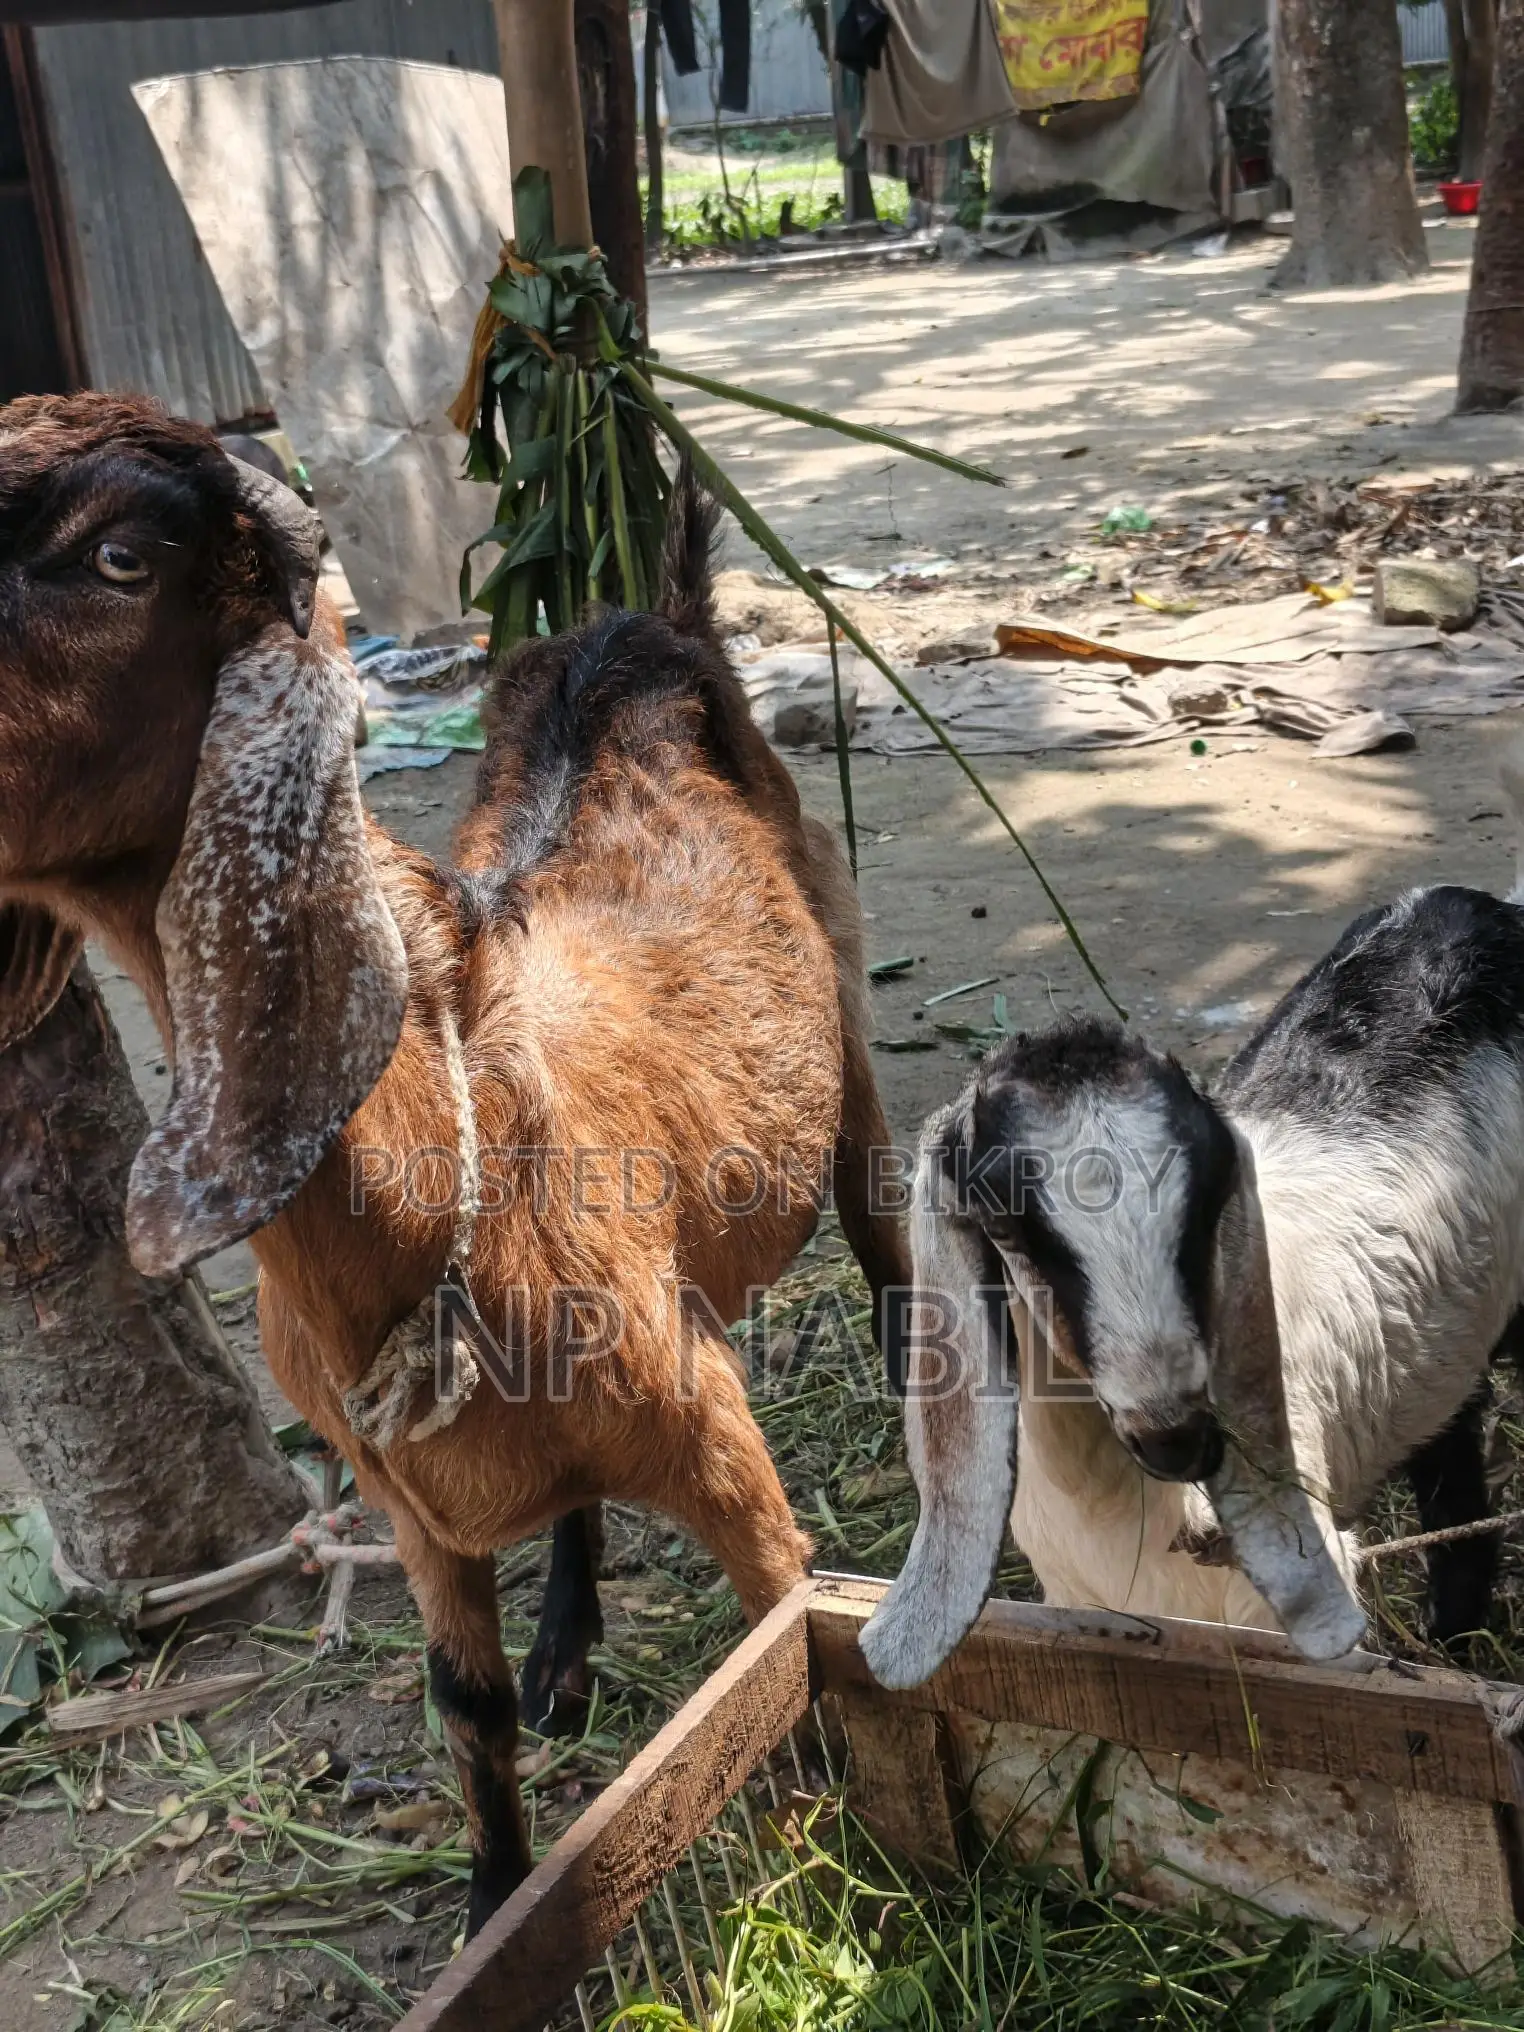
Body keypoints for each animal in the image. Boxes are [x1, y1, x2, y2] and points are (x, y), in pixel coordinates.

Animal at [0, 393, 910, 1933]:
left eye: (121, 555)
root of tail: (644, 618)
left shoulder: (718, 1435)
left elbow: (780, 1643)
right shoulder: (410, 1508)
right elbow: (464, 1712)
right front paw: (493, 1904)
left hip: (846, 1031)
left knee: (894, 1247)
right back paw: (565, 1645)